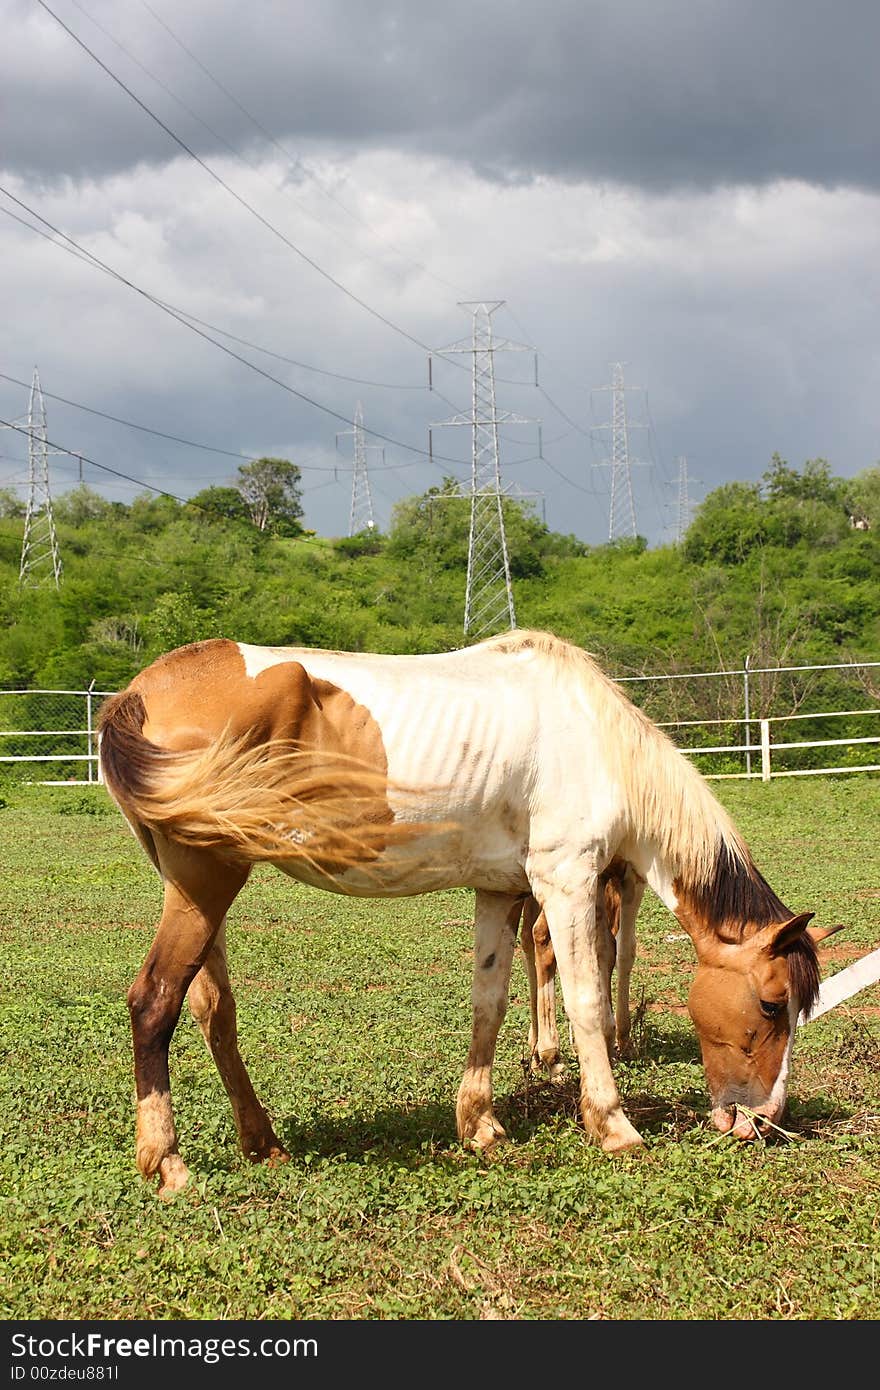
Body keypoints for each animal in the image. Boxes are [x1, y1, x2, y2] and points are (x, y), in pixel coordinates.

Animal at [98, 631, 845, 1195]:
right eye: (772, 1005)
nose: (763, 1119)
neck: (594, 738)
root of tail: (139, 693)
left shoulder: (501, 893)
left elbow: (490, 1001)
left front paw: (480, 1125)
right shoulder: (567, 882)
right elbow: (586, 998)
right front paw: (613, 1126)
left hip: (204, 888)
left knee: (212, 1011)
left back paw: (262, 1143)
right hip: (207, 881)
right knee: (154, 1002)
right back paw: (167, 1163)